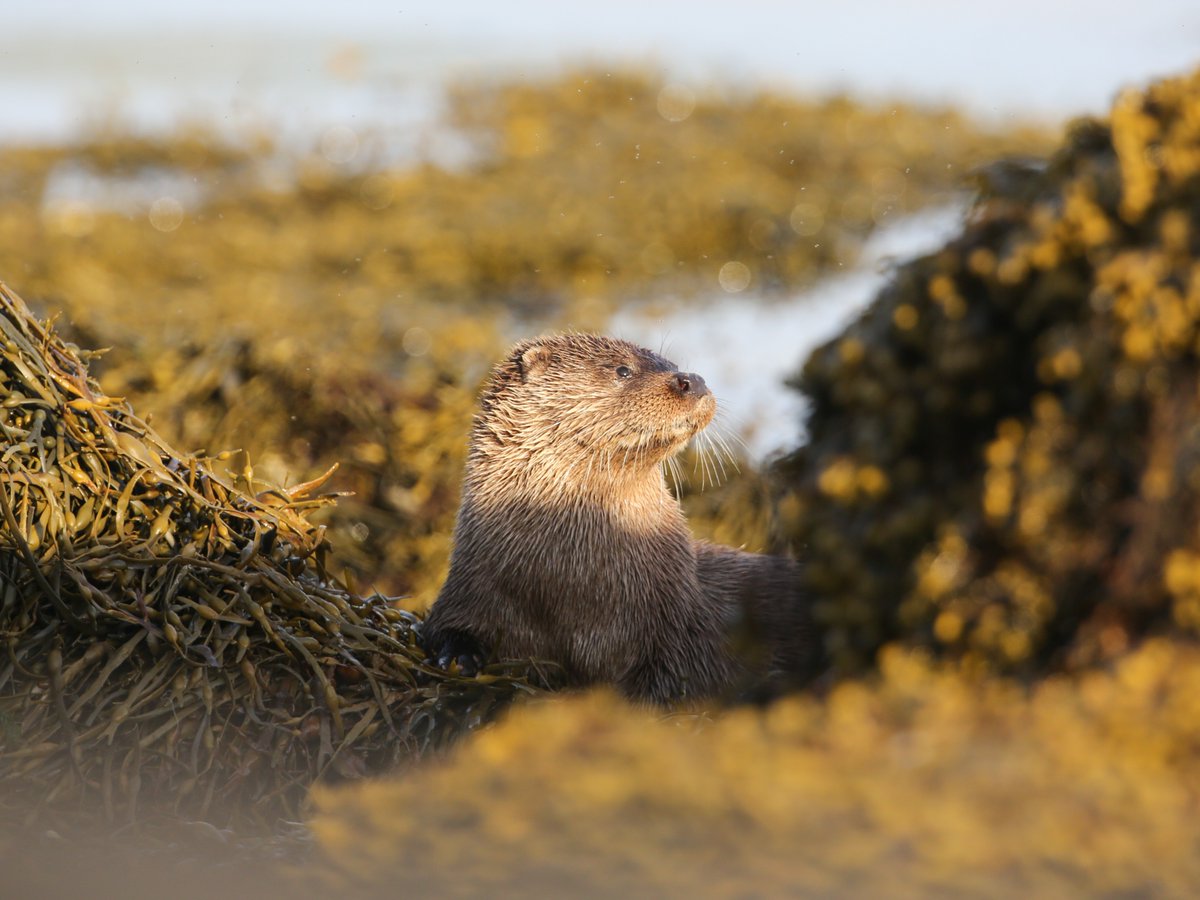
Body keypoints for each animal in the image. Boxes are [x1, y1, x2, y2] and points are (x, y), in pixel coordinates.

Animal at [417, 336, 811, 710]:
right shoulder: (472, 583)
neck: (572, 579)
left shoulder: (677, 627)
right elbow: (441, 629)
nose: (692, 380)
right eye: (622, 369)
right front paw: (459, 657)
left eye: (672, 363)